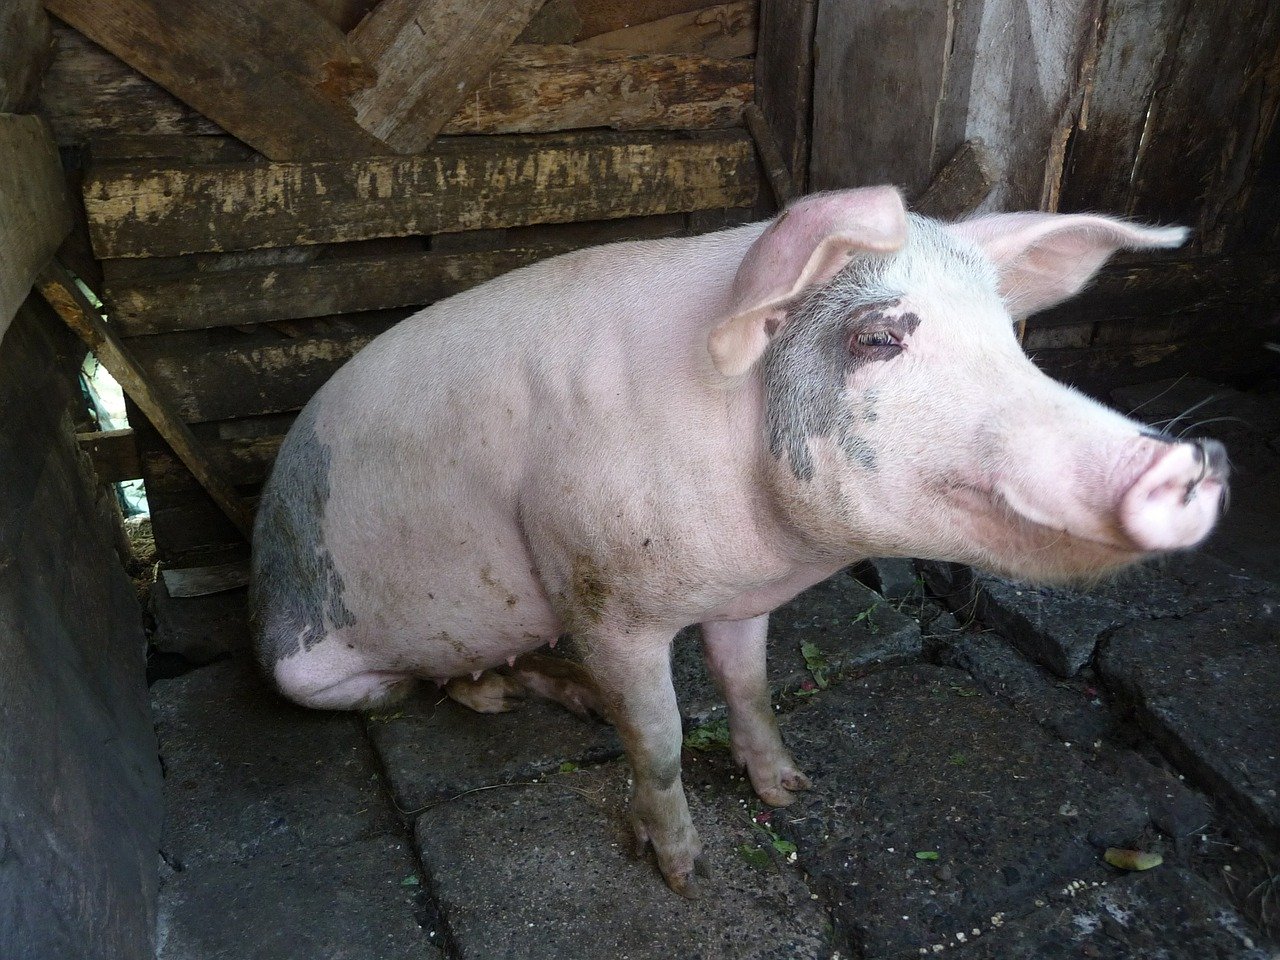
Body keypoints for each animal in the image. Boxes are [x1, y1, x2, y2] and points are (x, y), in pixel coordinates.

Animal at [250, 187, 1229, 896]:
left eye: (1009, 339)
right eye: (879, 337)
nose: (1198, 459)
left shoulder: (742, 599)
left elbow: (750, 686)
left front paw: (794, 789)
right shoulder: (601, 597)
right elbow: (661, 739)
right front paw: (684, 876)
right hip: (309, 667)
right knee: (416, 690)